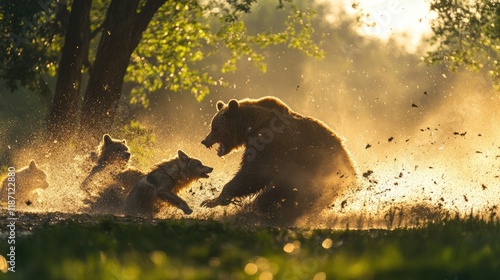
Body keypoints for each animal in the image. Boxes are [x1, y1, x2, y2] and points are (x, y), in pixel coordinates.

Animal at [201, 96, 358, 225]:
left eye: (215, 128)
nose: (204, 141)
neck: (252, 127)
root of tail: (351, 164)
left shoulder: (271, 144)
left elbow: (254, 173)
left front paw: (211, 200)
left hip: (317, 173)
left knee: (284, 196)